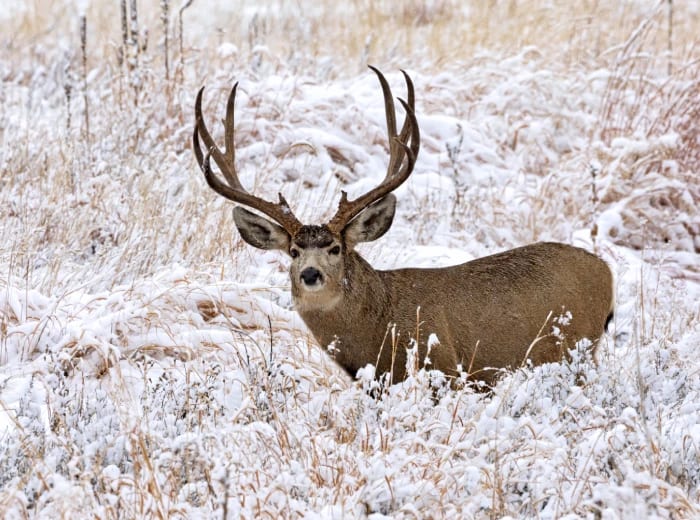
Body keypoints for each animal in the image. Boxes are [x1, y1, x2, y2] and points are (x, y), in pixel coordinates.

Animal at [192, 67, 614, 388]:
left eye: (336, 248)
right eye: (293, 251)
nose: (310, 274)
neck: (380, 323)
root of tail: (606, 272)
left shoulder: (444, 367)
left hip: (576, 347)